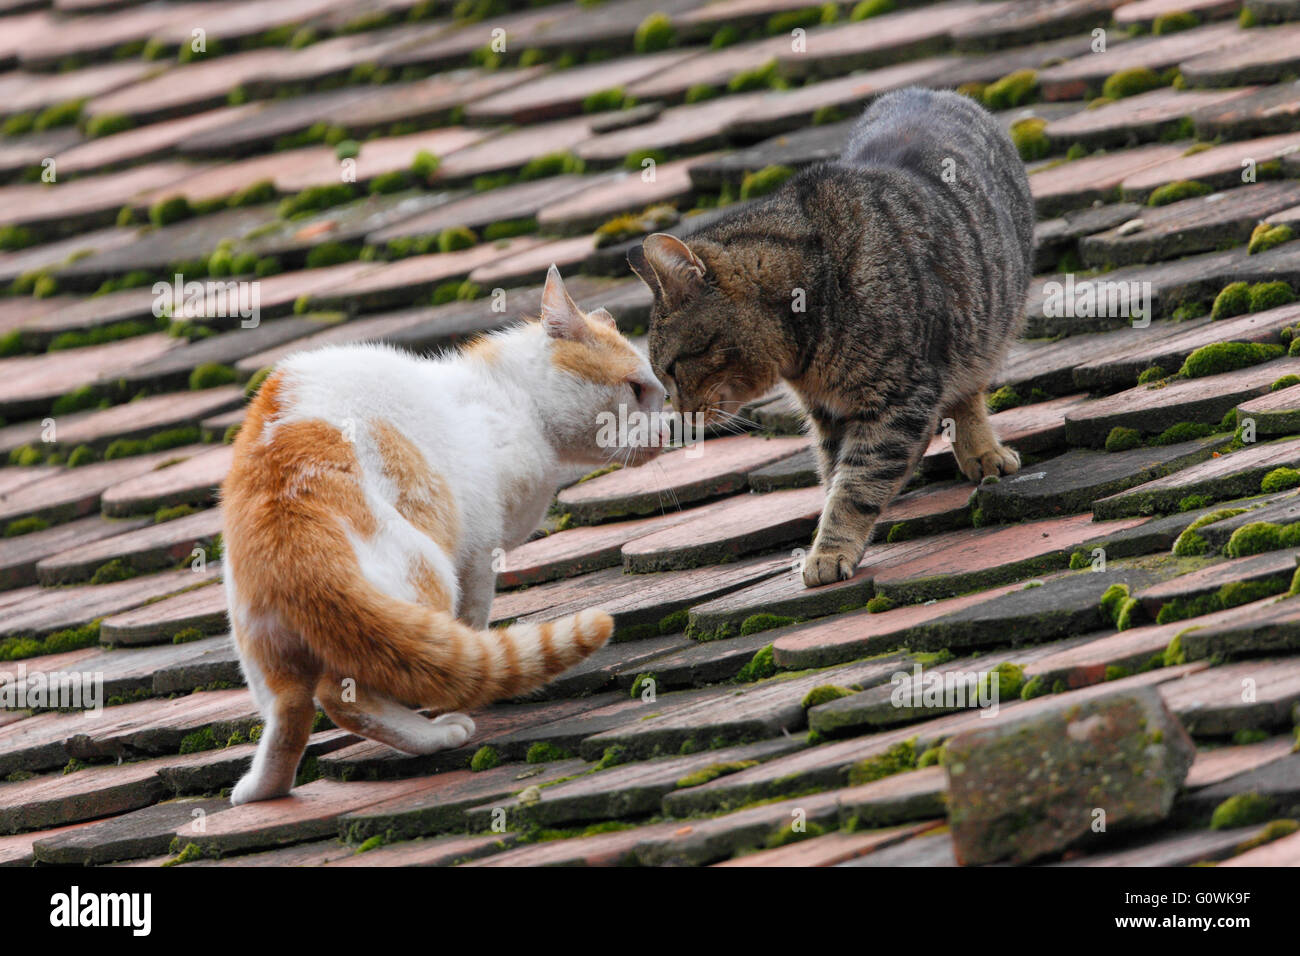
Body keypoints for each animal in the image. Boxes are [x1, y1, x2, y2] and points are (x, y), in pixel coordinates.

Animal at [629, 85, 1034, 587]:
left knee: (968, 388)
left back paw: (983, 451)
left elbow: (856, 485)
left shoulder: (898, 397)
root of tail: (927, 89)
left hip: (987, 325)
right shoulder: (829, 414)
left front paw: (829, 550)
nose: (679, 416)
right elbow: (834, 475)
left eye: (673, 367)